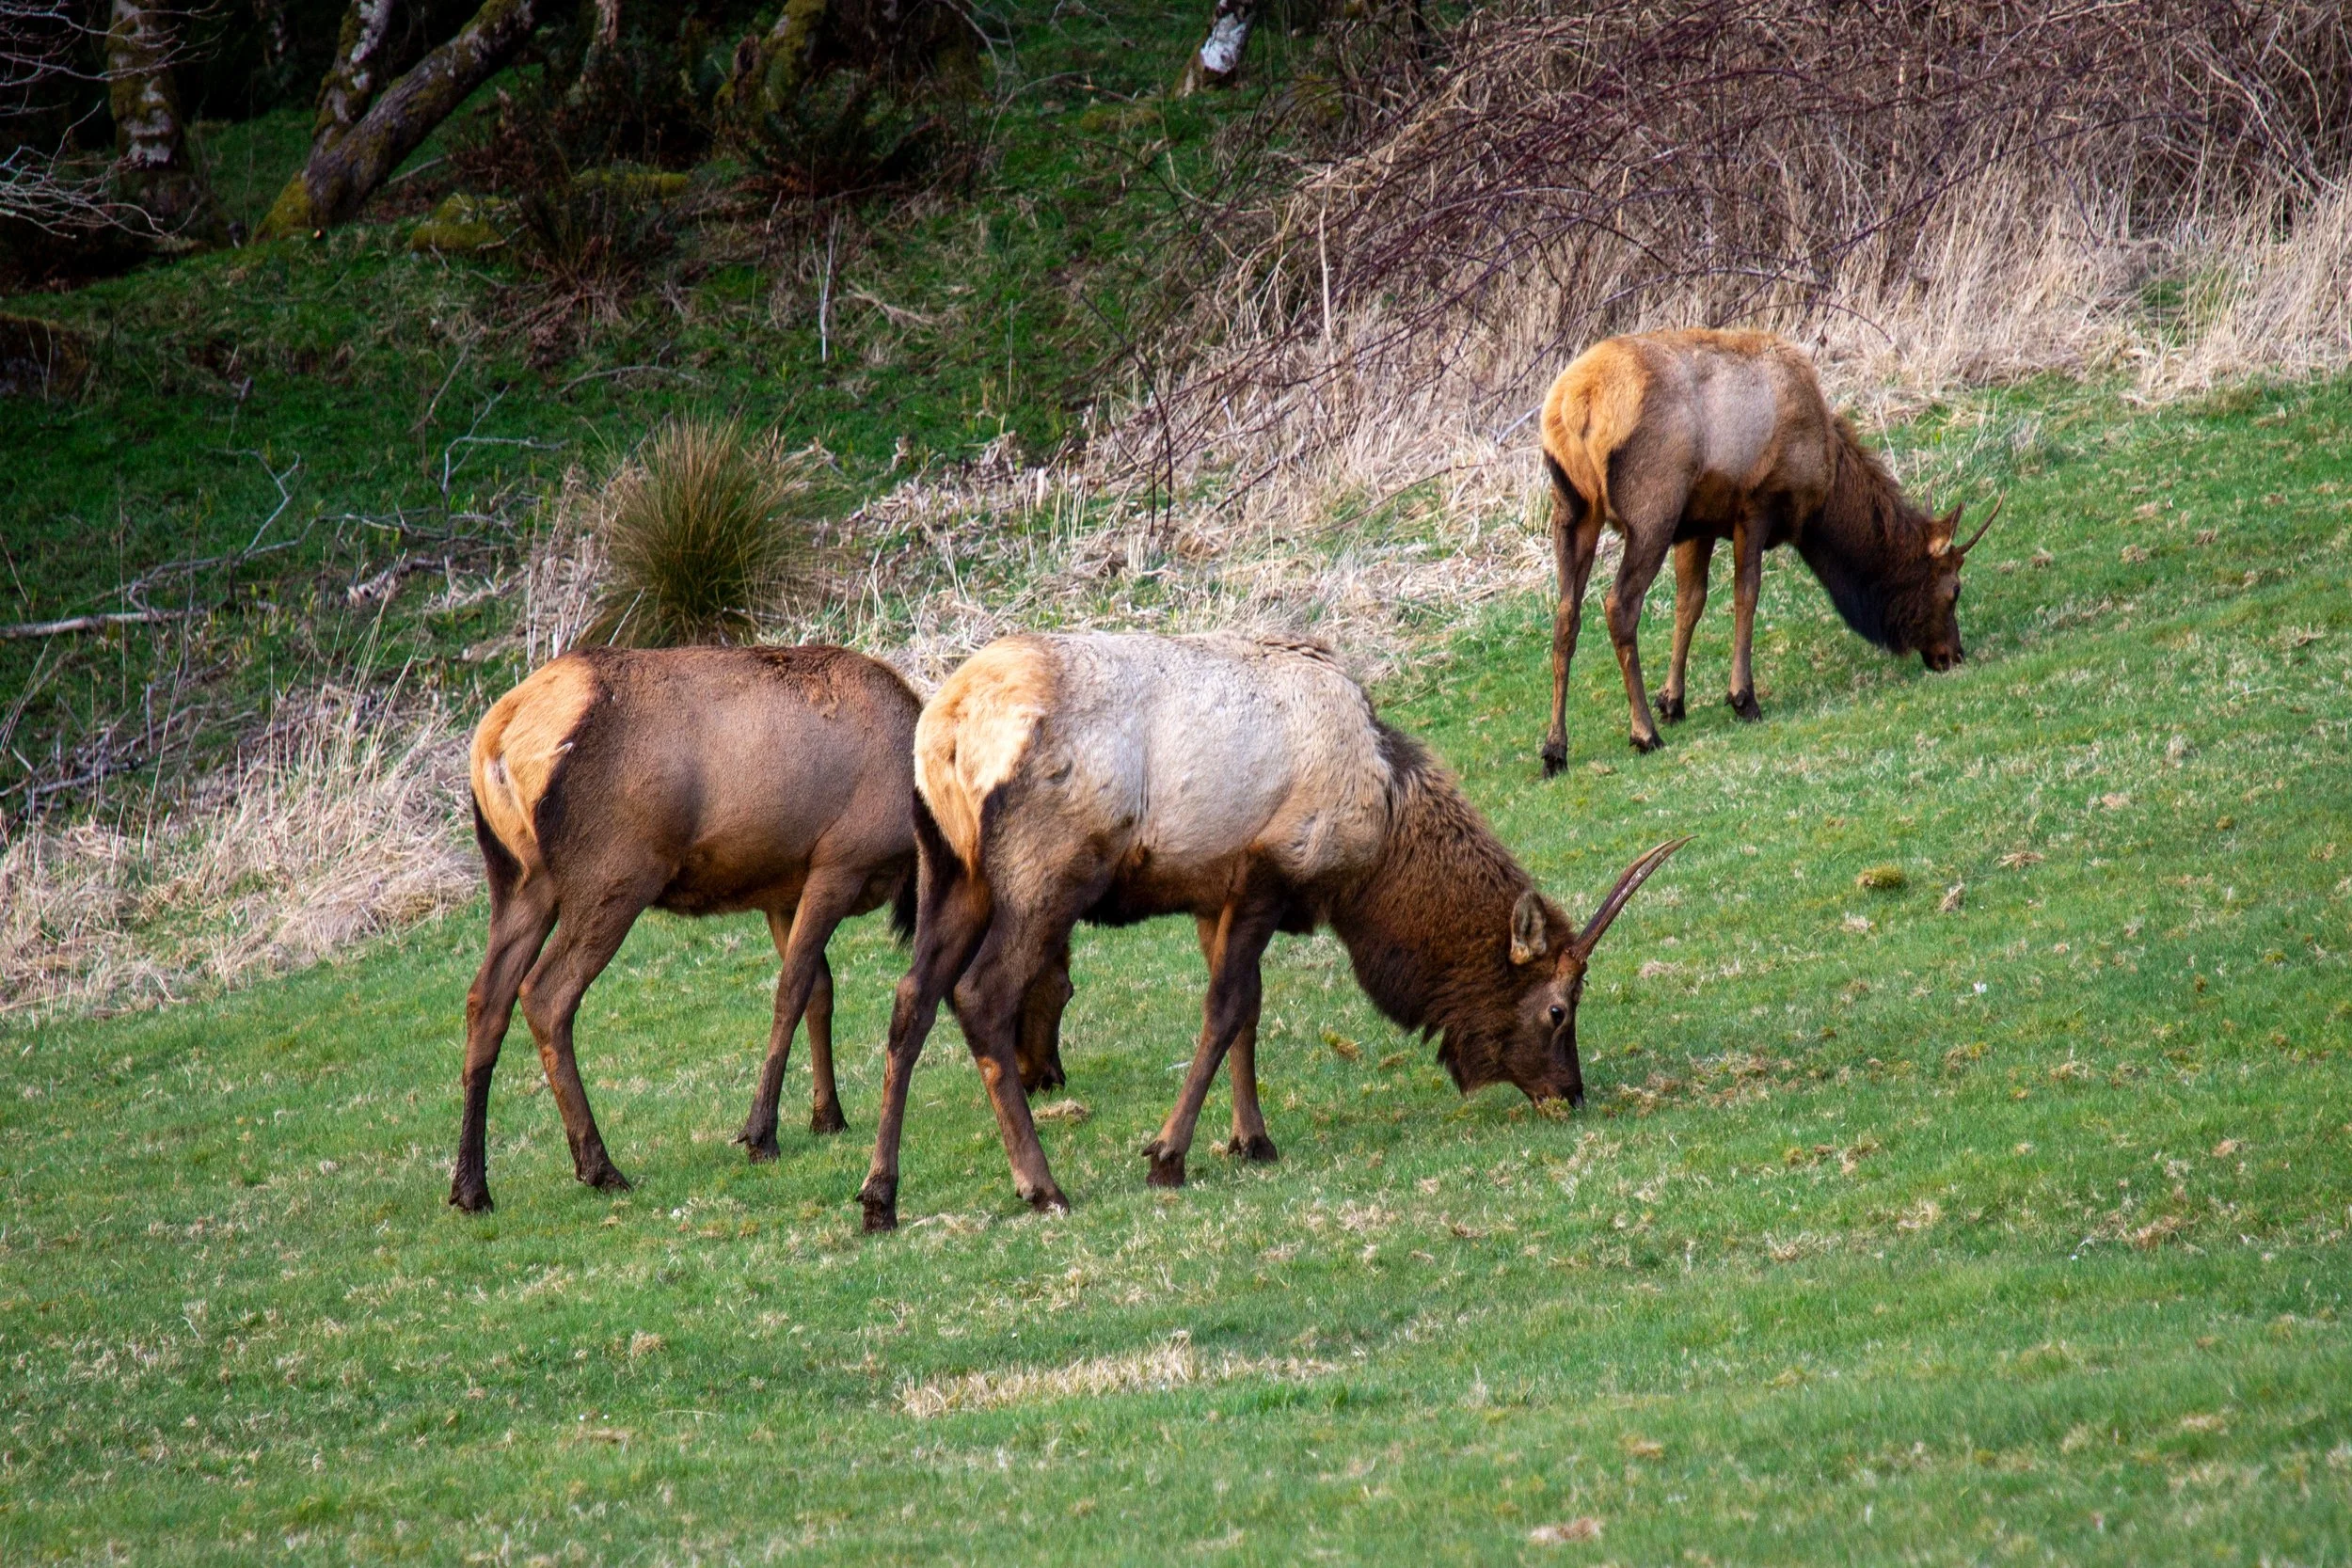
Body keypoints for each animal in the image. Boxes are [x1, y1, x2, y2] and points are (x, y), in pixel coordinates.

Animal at [449, 644, 975, 1213]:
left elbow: (818, 989)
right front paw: (761, 1133)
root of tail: (497, 739)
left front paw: (827, 1115)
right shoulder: (839, 864)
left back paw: (471, 1186)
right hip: (615, 876)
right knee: (545, 993)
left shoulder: (783, 890)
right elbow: (791, 991)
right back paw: (598, 1166)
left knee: (485, 998)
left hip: (520, 881)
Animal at [854, 630, 1685, 1231]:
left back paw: (880, 1195)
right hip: (1044, 873)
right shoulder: (1269, 873)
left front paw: (1251, 1138)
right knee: (979, 995)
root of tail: (943, 732)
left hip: (949, 868)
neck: (1381, 838)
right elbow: (1225, 1010)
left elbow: (1247, 1011)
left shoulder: (1213, 893)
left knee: (910, 998)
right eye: (1558, 1010)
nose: (1571, 1091)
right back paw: (1041, 1183)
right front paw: (1168, 1154)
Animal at [1538, 328, 1997, 770]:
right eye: (1954, 590)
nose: (1953, 654)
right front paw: (1743, 699)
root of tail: (1574, 407)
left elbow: (1691, 602)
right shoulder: (1757, 504)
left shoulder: (1698, 522)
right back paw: (1643, 733)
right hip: (1653, 509)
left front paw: (1672, 700)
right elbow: (1747, 594)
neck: (1824, 489)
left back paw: (1556, 749)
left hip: (1573, 511)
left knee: (1565, 616)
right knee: (1619, 606)